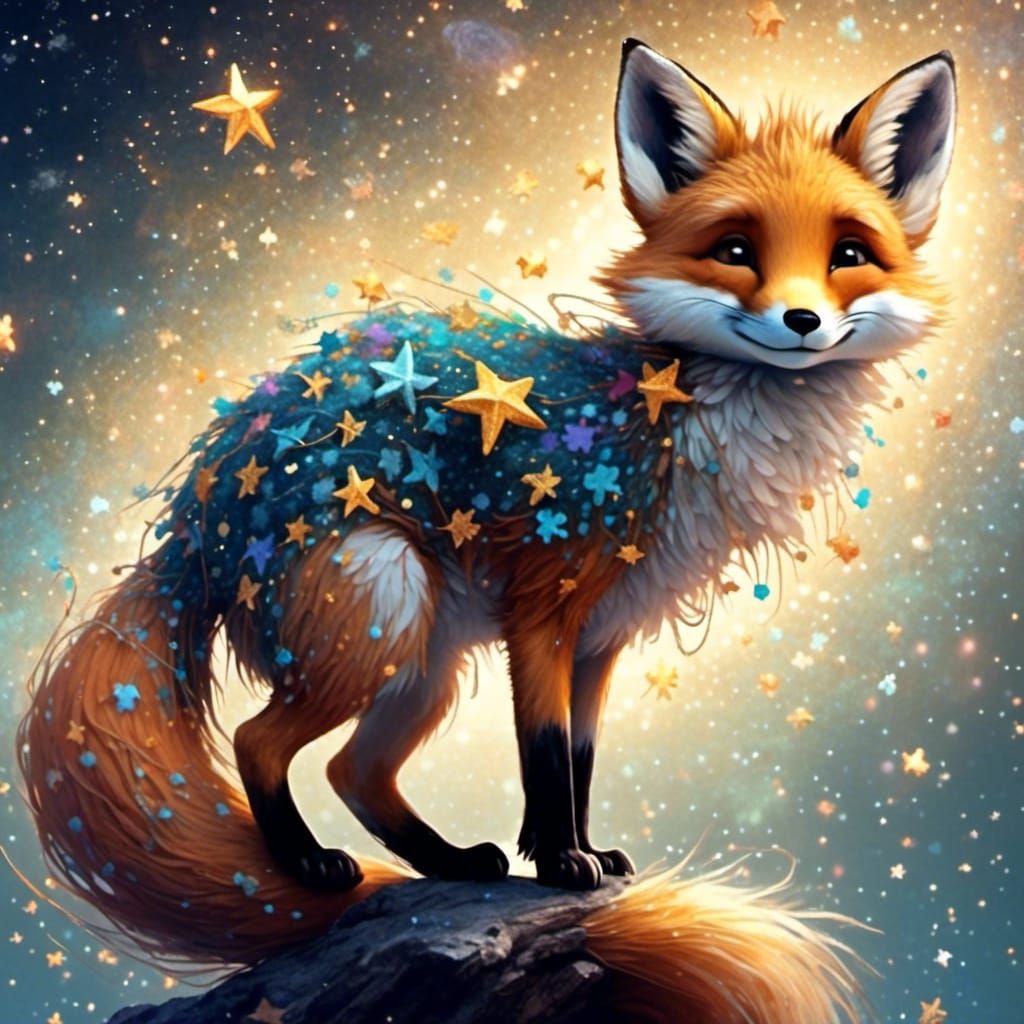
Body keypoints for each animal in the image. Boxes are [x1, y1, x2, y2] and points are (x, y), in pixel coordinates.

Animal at [18, 40, 955, 1023]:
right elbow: (542, 753)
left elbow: (580, 757)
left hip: (421, 659)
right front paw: (562, 865)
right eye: (736, 252)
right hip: (380, 609)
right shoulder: (542, 610)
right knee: (258, 742)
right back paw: (312, 865)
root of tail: (193, 525)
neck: (664, 429)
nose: (802, 321)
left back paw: (451, 862)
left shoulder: (603, 637)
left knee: (353, 770)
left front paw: (583, 853)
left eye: (848, 255)